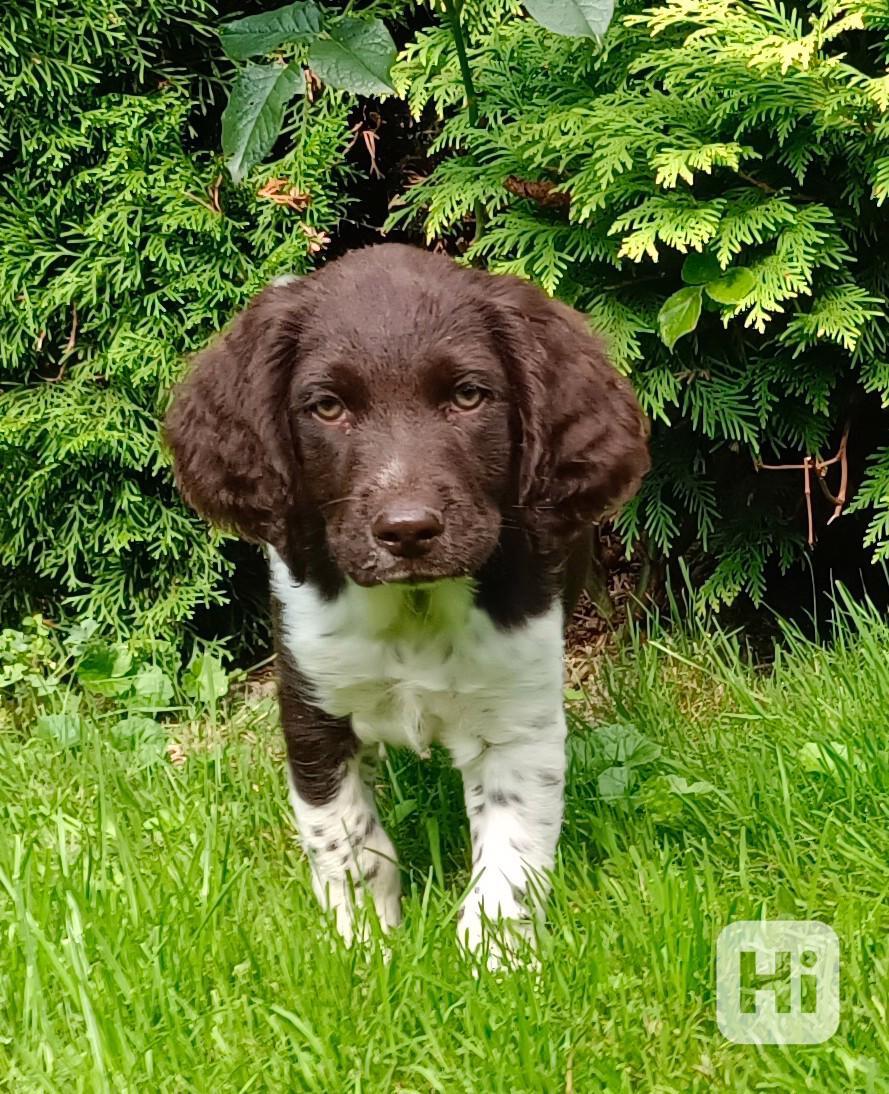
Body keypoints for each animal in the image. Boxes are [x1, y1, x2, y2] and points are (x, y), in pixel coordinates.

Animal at [165, 243, 642, 962]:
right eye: (327, 407)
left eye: (468, 396)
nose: (408, 530)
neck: (414, 608)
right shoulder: (311, 707)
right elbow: (347, 841)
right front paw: (364, 944)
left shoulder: (518, 720)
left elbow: (511, 856)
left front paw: (497, 963)